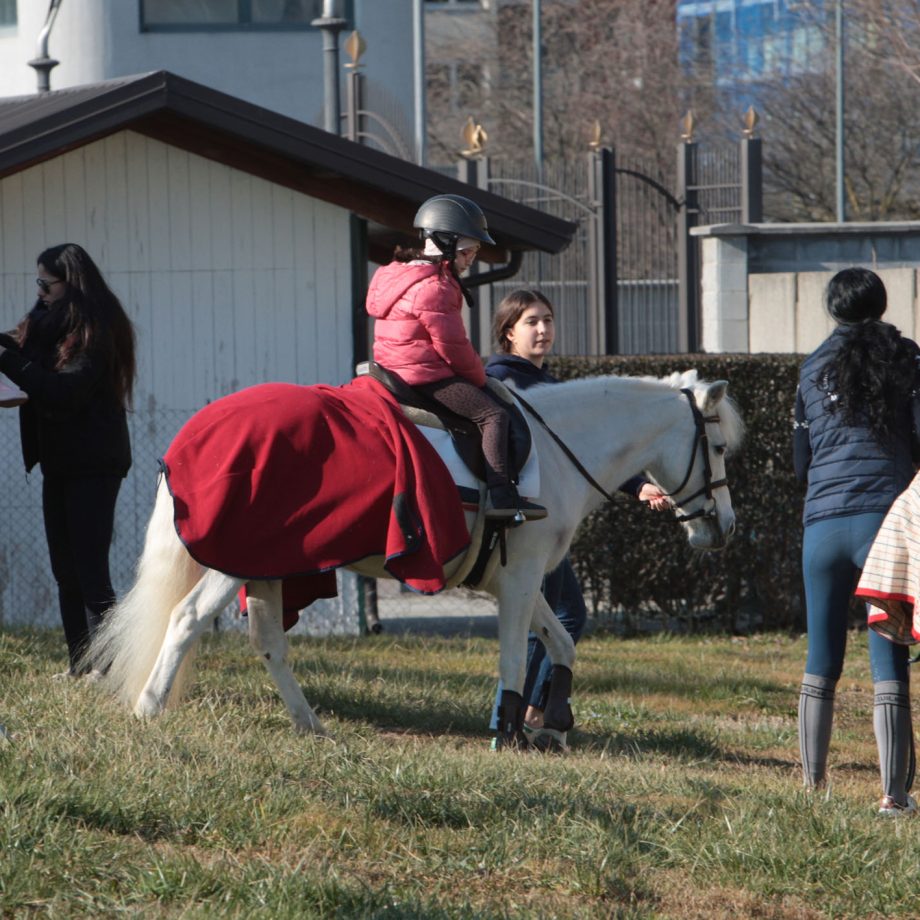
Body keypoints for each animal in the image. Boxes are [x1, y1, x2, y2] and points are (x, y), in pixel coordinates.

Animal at [86, 368, 744, 748]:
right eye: (715, 446)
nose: (725, 527)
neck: (558, 450)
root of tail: (194, 436)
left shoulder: (519, 582)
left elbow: (561, 643)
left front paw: (553, 721)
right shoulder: (521, 578)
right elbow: (514, 658)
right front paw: (508, 731)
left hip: (267, 566)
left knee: (268, 641)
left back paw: (310, 724)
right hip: (235, 563)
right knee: (186, 619)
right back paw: (148, 709)